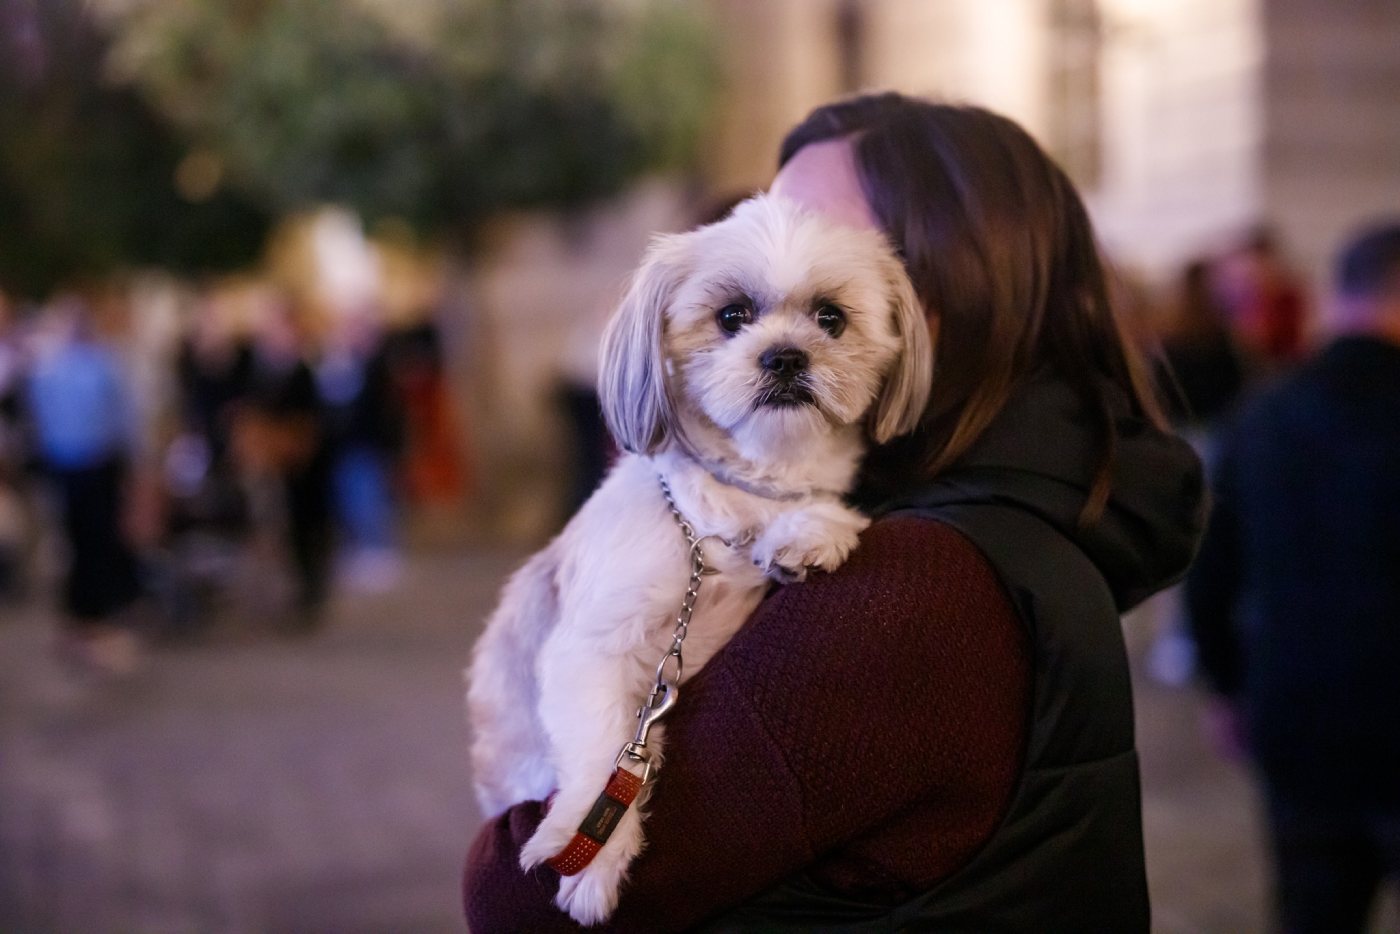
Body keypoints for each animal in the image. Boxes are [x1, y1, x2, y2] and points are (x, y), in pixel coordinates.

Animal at [467, 193, 929, 924]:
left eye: (830, 317)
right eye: (731, 316)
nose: (785, 356)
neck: (725, 514)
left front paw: (808, 532)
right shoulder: (591, 649)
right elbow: (603, 755)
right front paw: (589, 855)